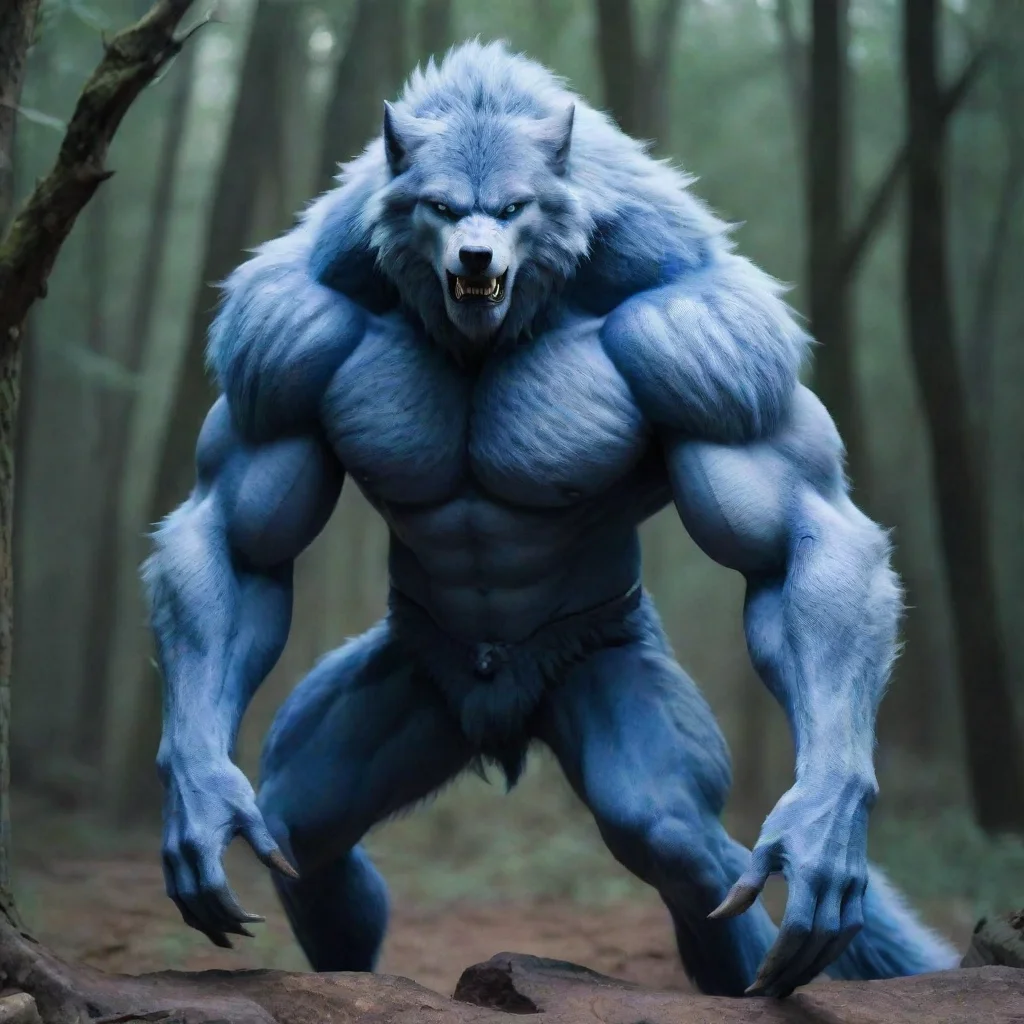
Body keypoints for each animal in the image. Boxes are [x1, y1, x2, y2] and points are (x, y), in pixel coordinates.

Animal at [146, 41, 958, 998]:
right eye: (442, 206)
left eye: (512, 208)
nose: (474, 254)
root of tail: (499, 710)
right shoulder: (280, 336)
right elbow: (236, 541)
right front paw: (199, 796)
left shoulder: (709, 337)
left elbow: (798, 540)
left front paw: (823, 816)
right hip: (413, 680)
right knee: (303, 825)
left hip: (605, 658)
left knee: (676, 839)